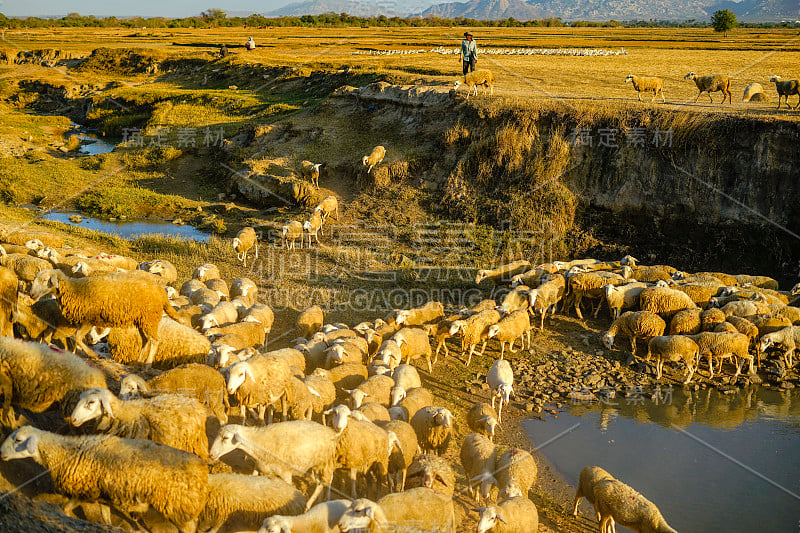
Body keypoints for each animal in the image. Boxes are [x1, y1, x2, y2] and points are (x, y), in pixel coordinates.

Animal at [1, 426, 208, 532]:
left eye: (18, 440)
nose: (1, 453)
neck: (65, 452)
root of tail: (203, 469)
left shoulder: (83, 491)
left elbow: (65, 509)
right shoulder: (102, 494)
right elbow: (106, 517)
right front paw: (108, 526)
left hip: (178, 506)